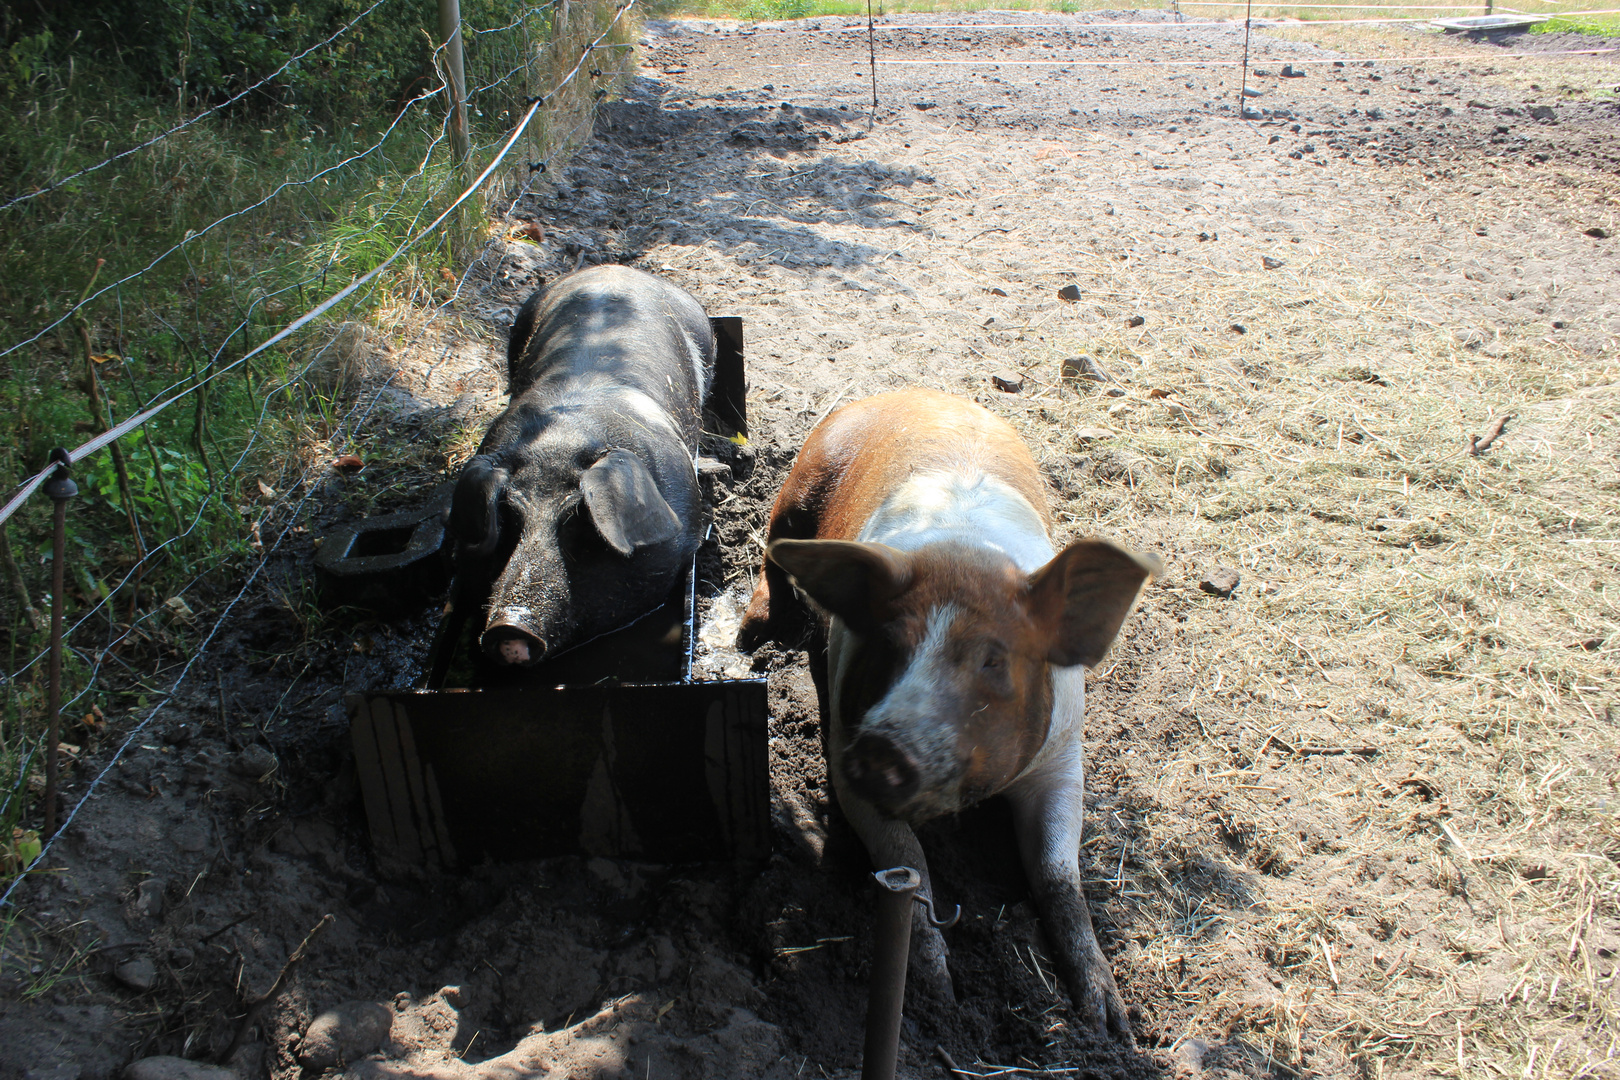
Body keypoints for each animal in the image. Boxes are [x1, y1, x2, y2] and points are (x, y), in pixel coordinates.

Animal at [741, 390, 1159, 1049]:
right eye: (890, 645)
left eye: (994, 659)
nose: (883, 747)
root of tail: (908, 392)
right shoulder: (842, 749)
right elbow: (909, 860)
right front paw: (938, 993)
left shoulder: (1064, 755)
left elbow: (1057, 874)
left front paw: (1109, 1022)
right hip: (802, 482)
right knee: (773, 551)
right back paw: (750, 633)